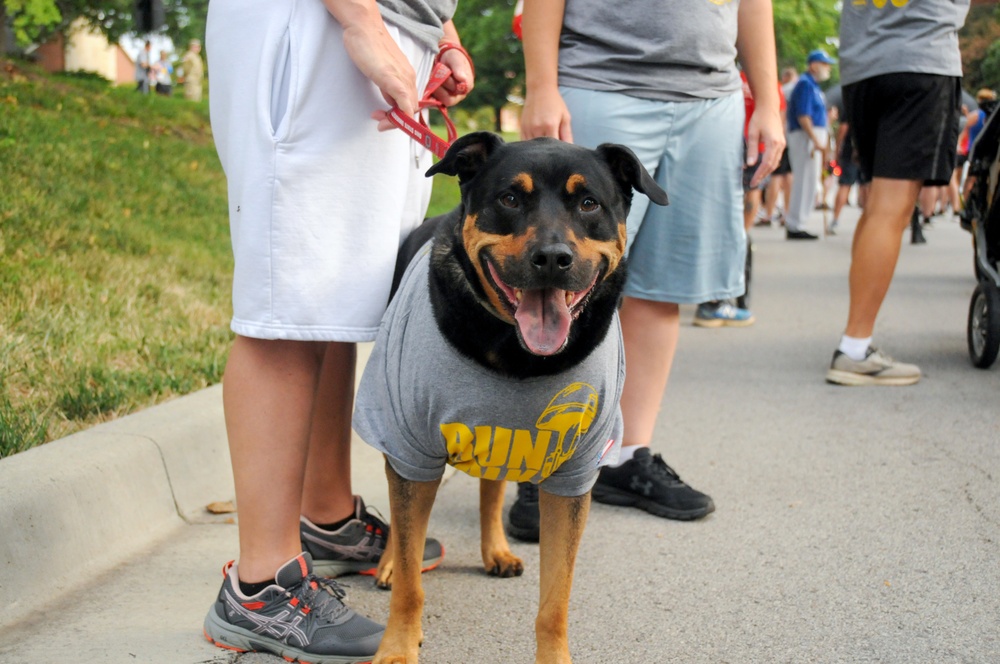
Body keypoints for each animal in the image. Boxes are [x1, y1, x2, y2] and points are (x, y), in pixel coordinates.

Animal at [356, 131, 668, 664]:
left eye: (589, 203)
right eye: (509, 199)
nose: (553, 257)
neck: (516, 353)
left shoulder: (574, 474)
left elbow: (555, 600)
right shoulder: (412, 446)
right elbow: (412, 575)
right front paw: (398, 645)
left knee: (490, 486)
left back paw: (495, 550)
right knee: (404, 522)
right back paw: (393, 563)